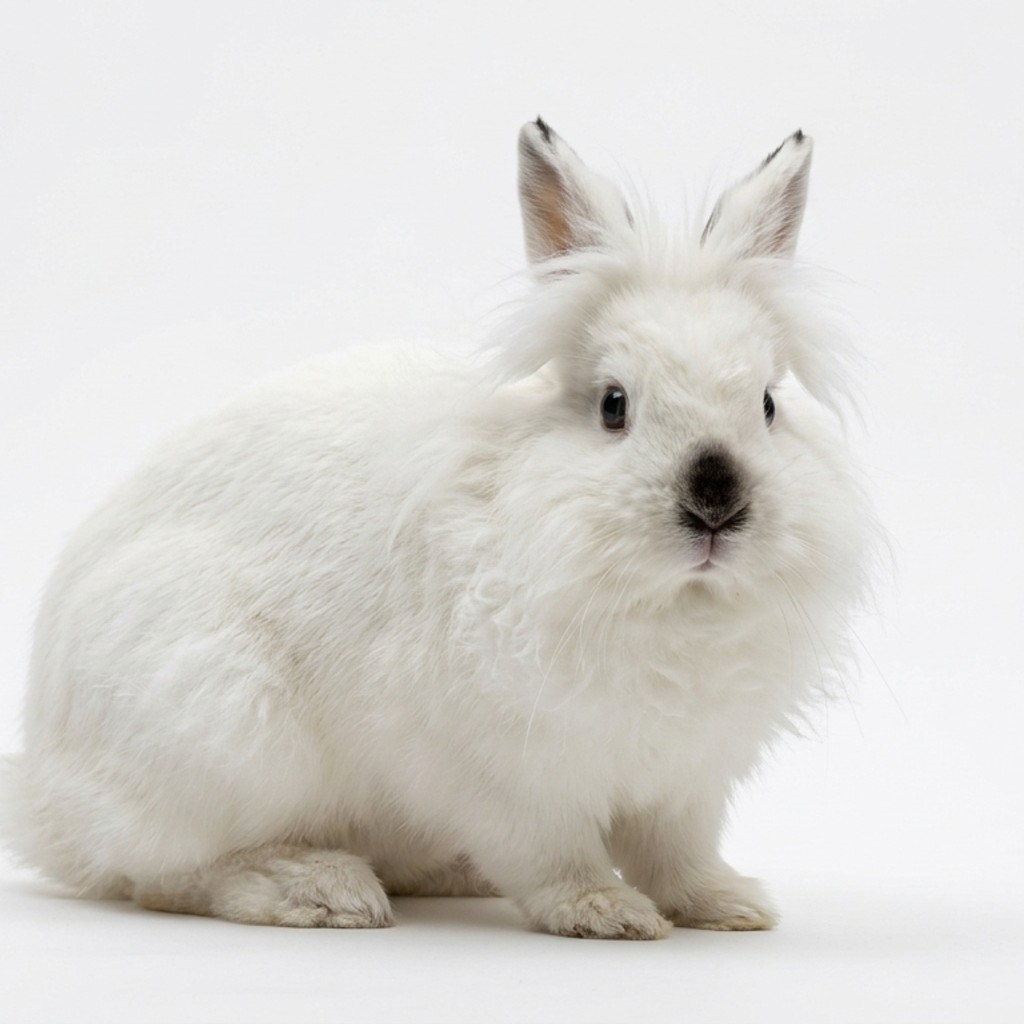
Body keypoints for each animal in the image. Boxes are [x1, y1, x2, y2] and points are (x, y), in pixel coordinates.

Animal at [1, 119, 869, 939]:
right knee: (165, 872)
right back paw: (320, 890)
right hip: (220, 727)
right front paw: (604, 912)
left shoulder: (686, 785)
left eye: (767, 403)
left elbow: (677, 856)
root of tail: (44, 795)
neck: (674, 606)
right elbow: (554, 855)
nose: (717, 501)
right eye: (614, 404)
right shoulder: (505, 775)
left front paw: (730, 905)